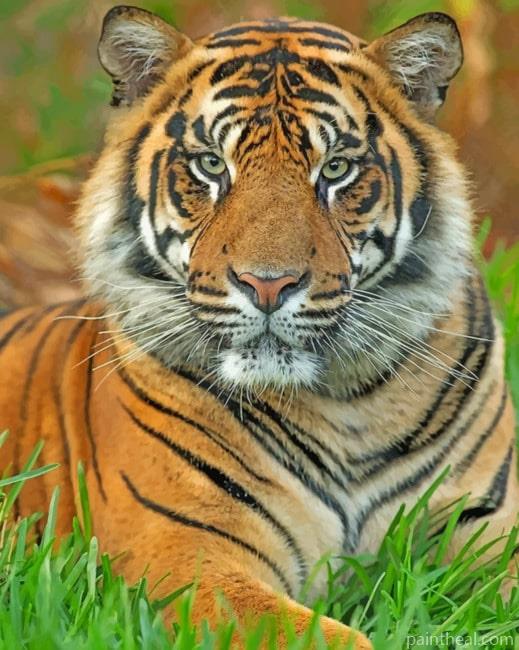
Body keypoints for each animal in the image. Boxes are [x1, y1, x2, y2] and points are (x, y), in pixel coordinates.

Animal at [1, 5, 517, 648]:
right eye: (211, 165)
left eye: (336, 169)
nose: (268, 285)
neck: (351, 406)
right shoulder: (188, 555)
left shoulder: (487, 531)